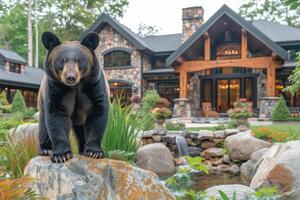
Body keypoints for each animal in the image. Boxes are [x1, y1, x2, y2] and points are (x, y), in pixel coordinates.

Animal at [38, 31, 109, 162]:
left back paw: (82, 149)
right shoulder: (56, 88)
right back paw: (45, 149)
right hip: (41, 101)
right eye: (63, 60)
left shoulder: (94, 85)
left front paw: (95, 152)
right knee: (43, 126)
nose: (70, 77)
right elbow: (56, 115)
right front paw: (61, 155)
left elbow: (98, 113)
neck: (76, 86)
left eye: (79, 60)